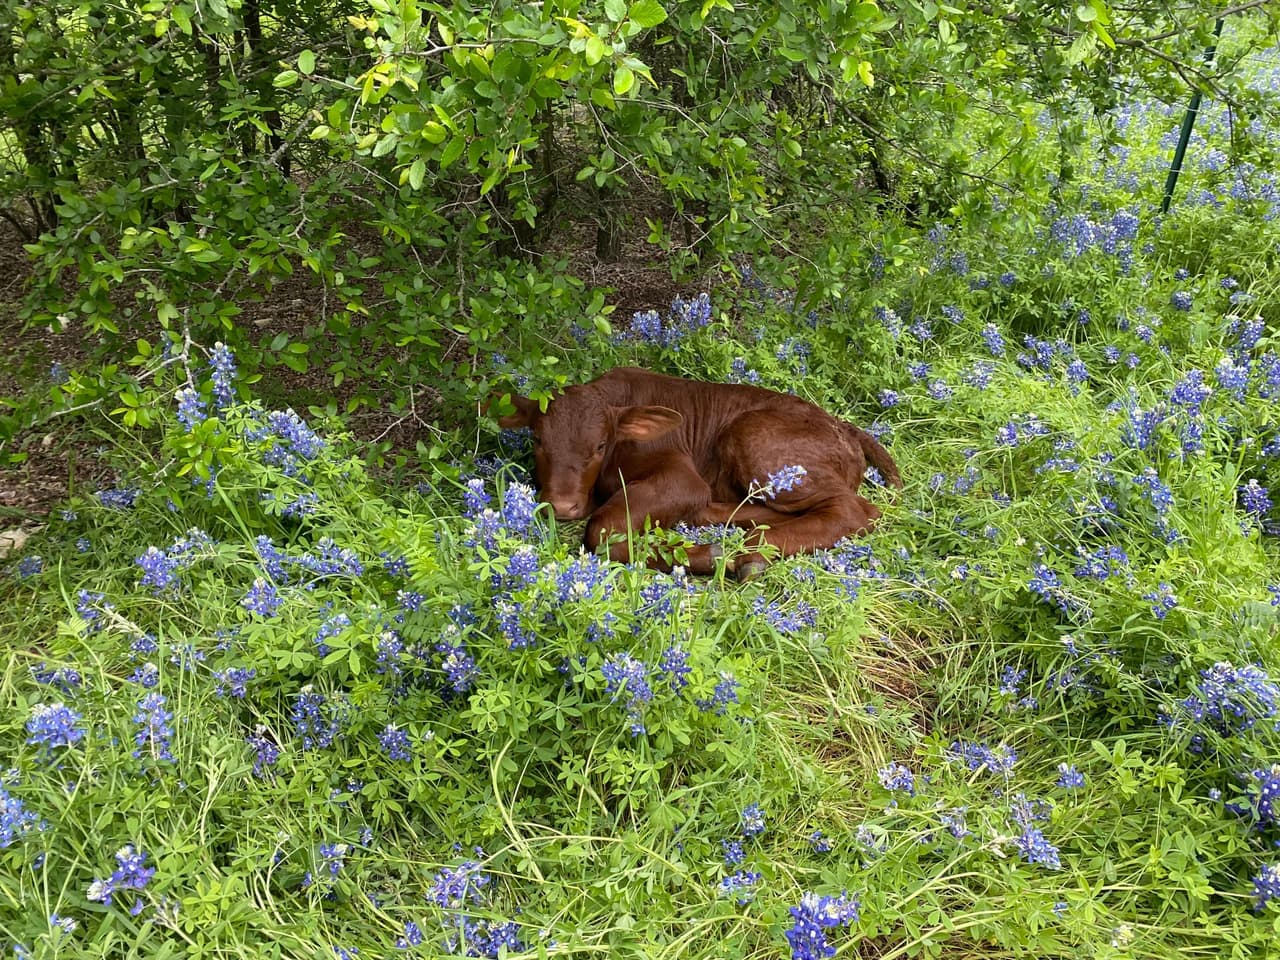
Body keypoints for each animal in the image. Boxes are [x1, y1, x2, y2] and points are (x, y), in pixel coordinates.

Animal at [495, 367, 901, 577]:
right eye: (537, 440)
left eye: (599, 445)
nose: (562, 506)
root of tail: (843, 425)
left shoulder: (682, 477)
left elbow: (601, 532)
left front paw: (705, 554)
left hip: (756, 441)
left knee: (853, 510)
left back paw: (749, 555)